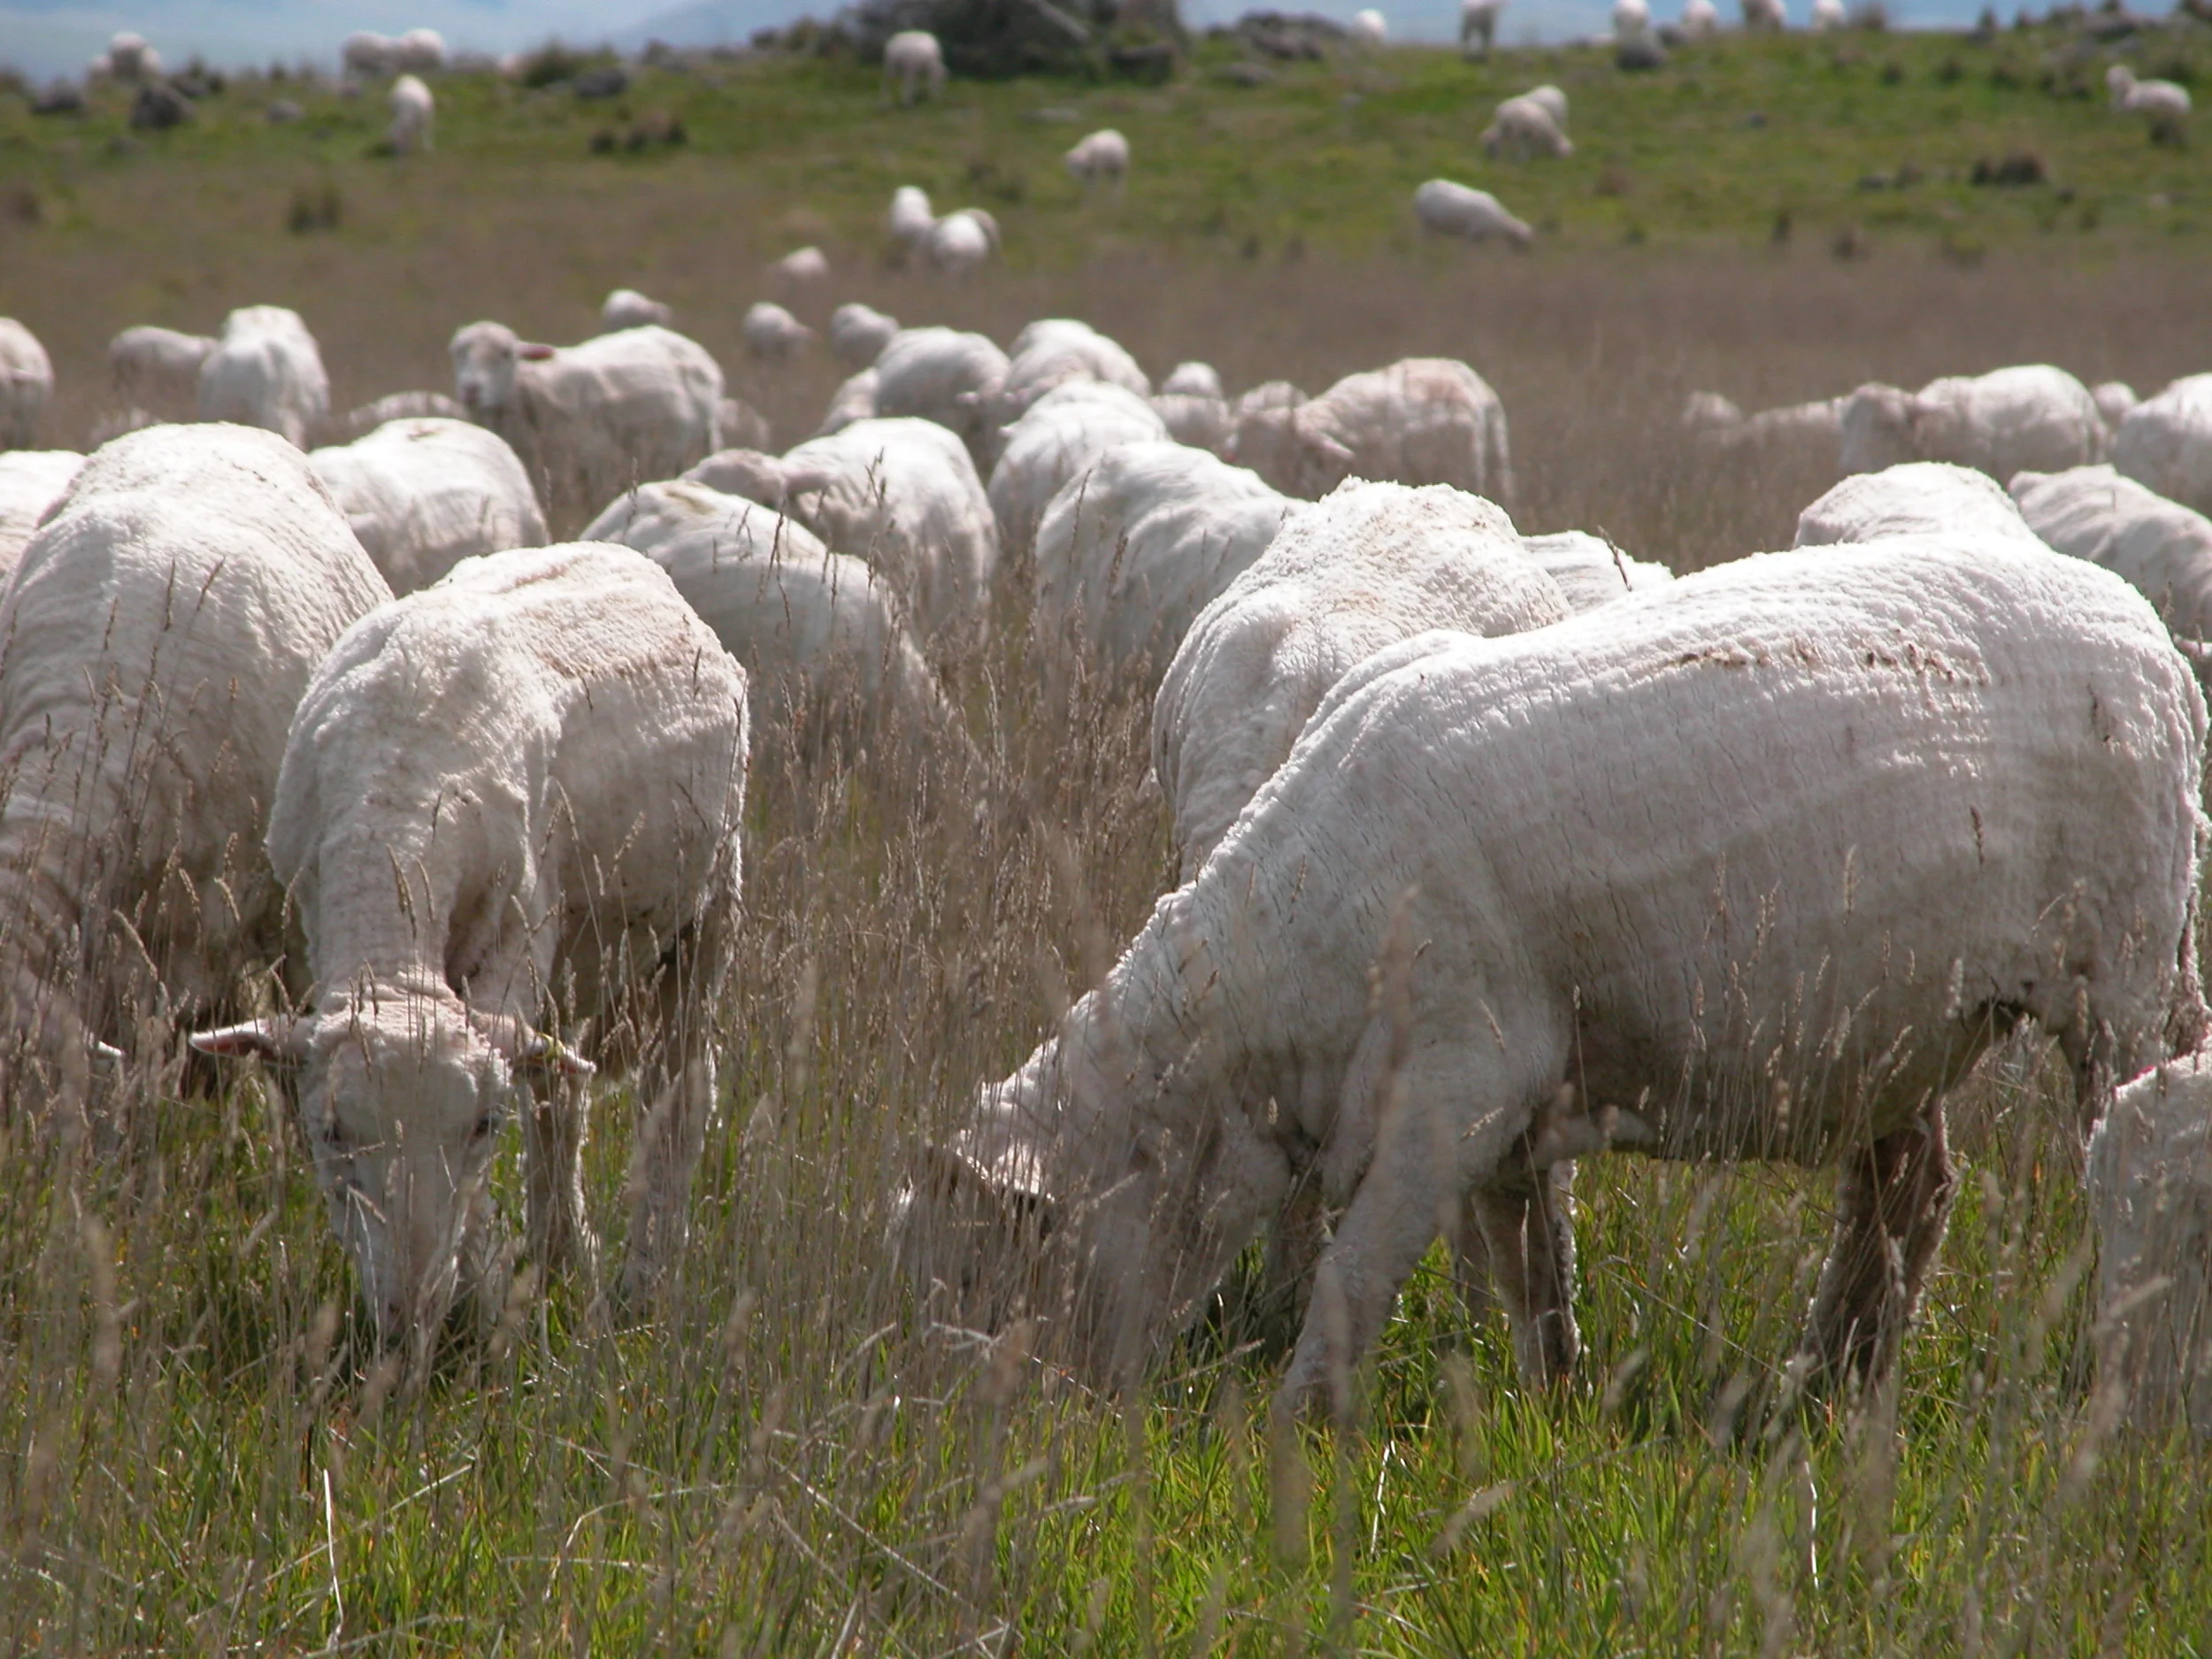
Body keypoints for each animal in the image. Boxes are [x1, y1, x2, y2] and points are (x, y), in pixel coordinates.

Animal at [191, 543, 749, 1340]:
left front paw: (475, 1304)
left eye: (484, 1126)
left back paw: (645, 1284)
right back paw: (559, 1257)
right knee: (558, 1096)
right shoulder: (307, 942)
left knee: (677, 1093)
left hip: (707, 912)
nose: (409, 1312)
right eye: (331, 1132)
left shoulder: (516, 938)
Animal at [1413, 180, 1534, 249]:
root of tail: (1420, 189)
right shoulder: (1472, 233)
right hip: (1424, 220)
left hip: (1433, 223)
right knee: (1422, 237)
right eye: (1521, 241)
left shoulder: (1481, 238)